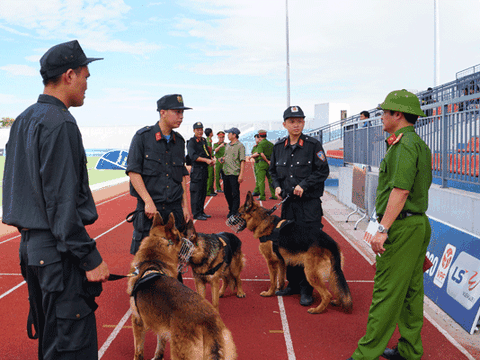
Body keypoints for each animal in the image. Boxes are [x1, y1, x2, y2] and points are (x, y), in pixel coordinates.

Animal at [126, 214, 237, 360]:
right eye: (180, 235)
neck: (152, 262)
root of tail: (209, 321)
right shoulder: (161, 327)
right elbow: (160, 345)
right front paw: (158, 356)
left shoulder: (137, 321)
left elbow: (138, 350)